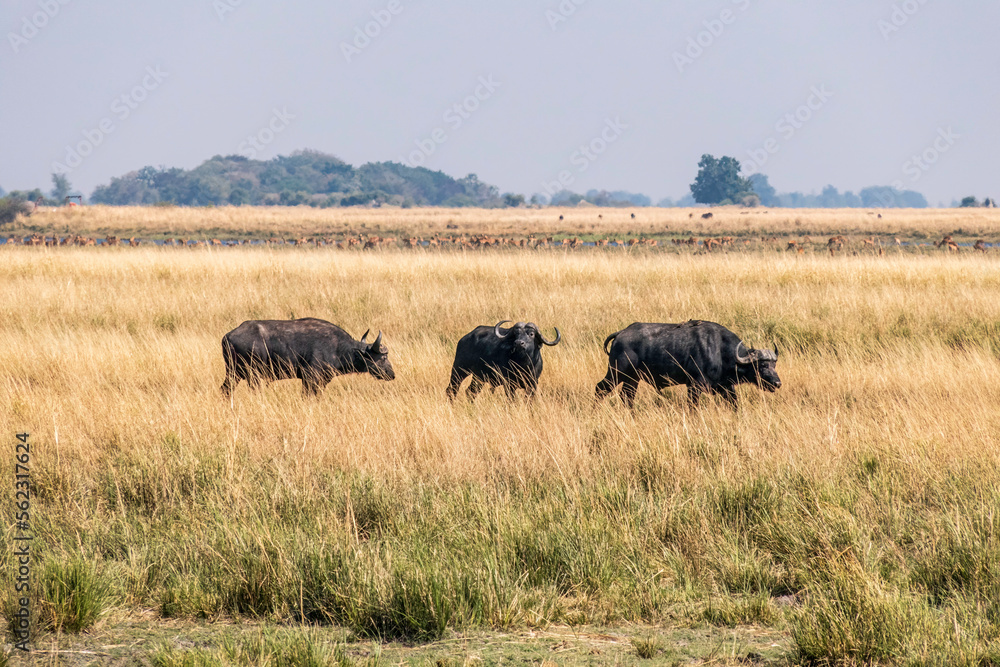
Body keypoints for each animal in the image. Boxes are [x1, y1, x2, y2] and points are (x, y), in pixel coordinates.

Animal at [223, 318, 394, 396]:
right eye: (383, 358)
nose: (392, 374)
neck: (338, 347)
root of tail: (228, 336)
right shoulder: (310, 378)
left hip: (233, 374)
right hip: (253, 377)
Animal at [592, 318, 780, 408]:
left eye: (774, 365)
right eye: (762, 365)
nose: (777, 383)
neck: (720, 351)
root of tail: (621, 333)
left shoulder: (726, 387)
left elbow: (734, 404)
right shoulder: (695, 386)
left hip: (632, 379)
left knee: (627, 397)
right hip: (616, 373)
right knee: (600, 389)